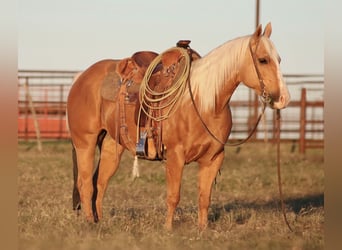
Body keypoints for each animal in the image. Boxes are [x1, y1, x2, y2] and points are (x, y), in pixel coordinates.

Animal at [66, 23, 288, 230]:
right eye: (263, 59)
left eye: (279, 59)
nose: (283, 99)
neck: (202, 102)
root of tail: (81, 78)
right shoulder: (175, 155)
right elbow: (173, 196)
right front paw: (168, 230)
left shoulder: (214, 158)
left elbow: (204, 198)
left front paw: (202, 230)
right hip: (85, 143)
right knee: (85, 184)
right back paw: (89, 223)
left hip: (112, 146)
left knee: (100, 183)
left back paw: (100, 223)